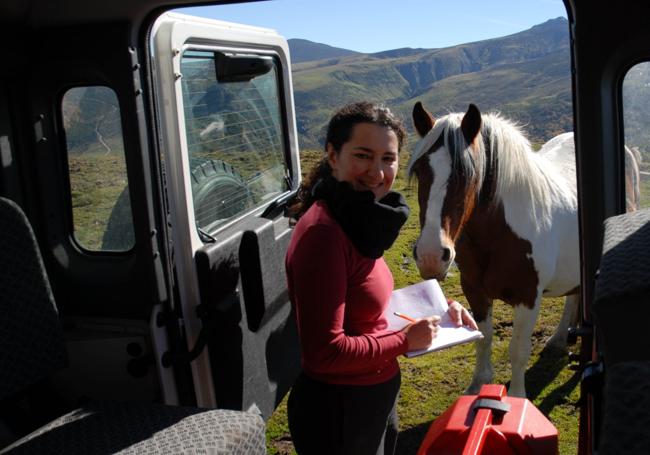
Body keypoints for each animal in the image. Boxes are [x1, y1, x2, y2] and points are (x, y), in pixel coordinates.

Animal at [408, 102, 640, 400]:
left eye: (467, 174)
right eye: (420, 171)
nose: (431, 256)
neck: (497, 234)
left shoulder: (528, 297)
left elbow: (518, 351)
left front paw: (517, 399)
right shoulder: (474, 289)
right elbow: (483, 338)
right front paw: (478, 384)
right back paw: (558, 338)